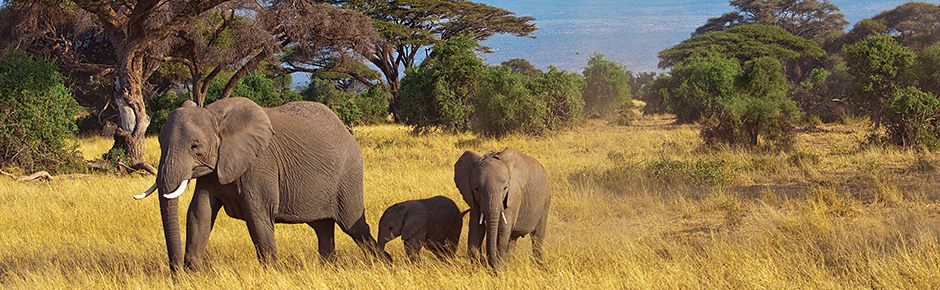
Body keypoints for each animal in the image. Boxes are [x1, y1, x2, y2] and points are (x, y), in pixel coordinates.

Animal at [133, 97, 382, 272]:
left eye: (195, 146)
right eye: (160, 142)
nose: (176, 272)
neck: (215, 115)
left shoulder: (260, 164)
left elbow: (257, 216)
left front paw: (273, 274)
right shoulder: (213, 171)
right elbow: (199, 213)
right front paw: (193, 275)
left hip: (348, 176)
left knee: (354, 226)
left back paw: (382, 263)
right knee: (322, 228)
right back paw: (328, 269)